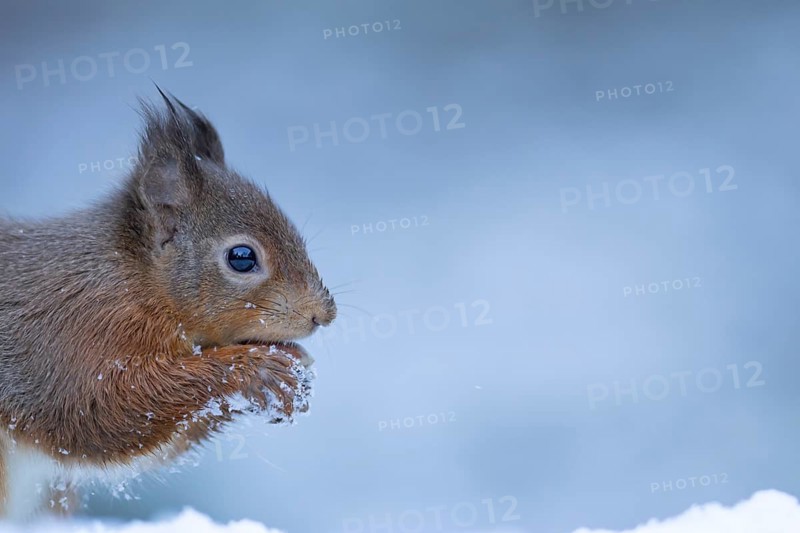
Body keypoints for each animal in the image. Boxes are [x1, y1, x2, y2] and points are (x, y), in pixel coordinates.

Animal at [0, 89, 336, 519]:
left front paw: (292, 362)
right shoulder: (65, 337)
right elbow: (100, 413)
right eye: (242, 258)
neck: (135, 283)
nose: (323, 314)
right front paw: (257, 369)